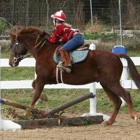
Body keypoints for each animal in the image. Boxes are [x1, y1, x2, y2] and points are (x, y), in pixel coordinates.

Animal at [9, 26, 140, 124]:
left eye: (13, 45)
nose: (11, 62)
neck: (42, 50)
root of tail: (116, 55)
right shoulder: (48, 79)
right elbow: (33, 86)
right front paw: (43, 98)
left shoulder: (42, 79)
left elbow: (34, 96)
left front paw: (26, 115)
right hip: (105, 83)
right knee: (117, 101)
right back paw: (109, 121)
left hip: (111, 82)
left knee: (125, 95)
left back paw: (134, 116)